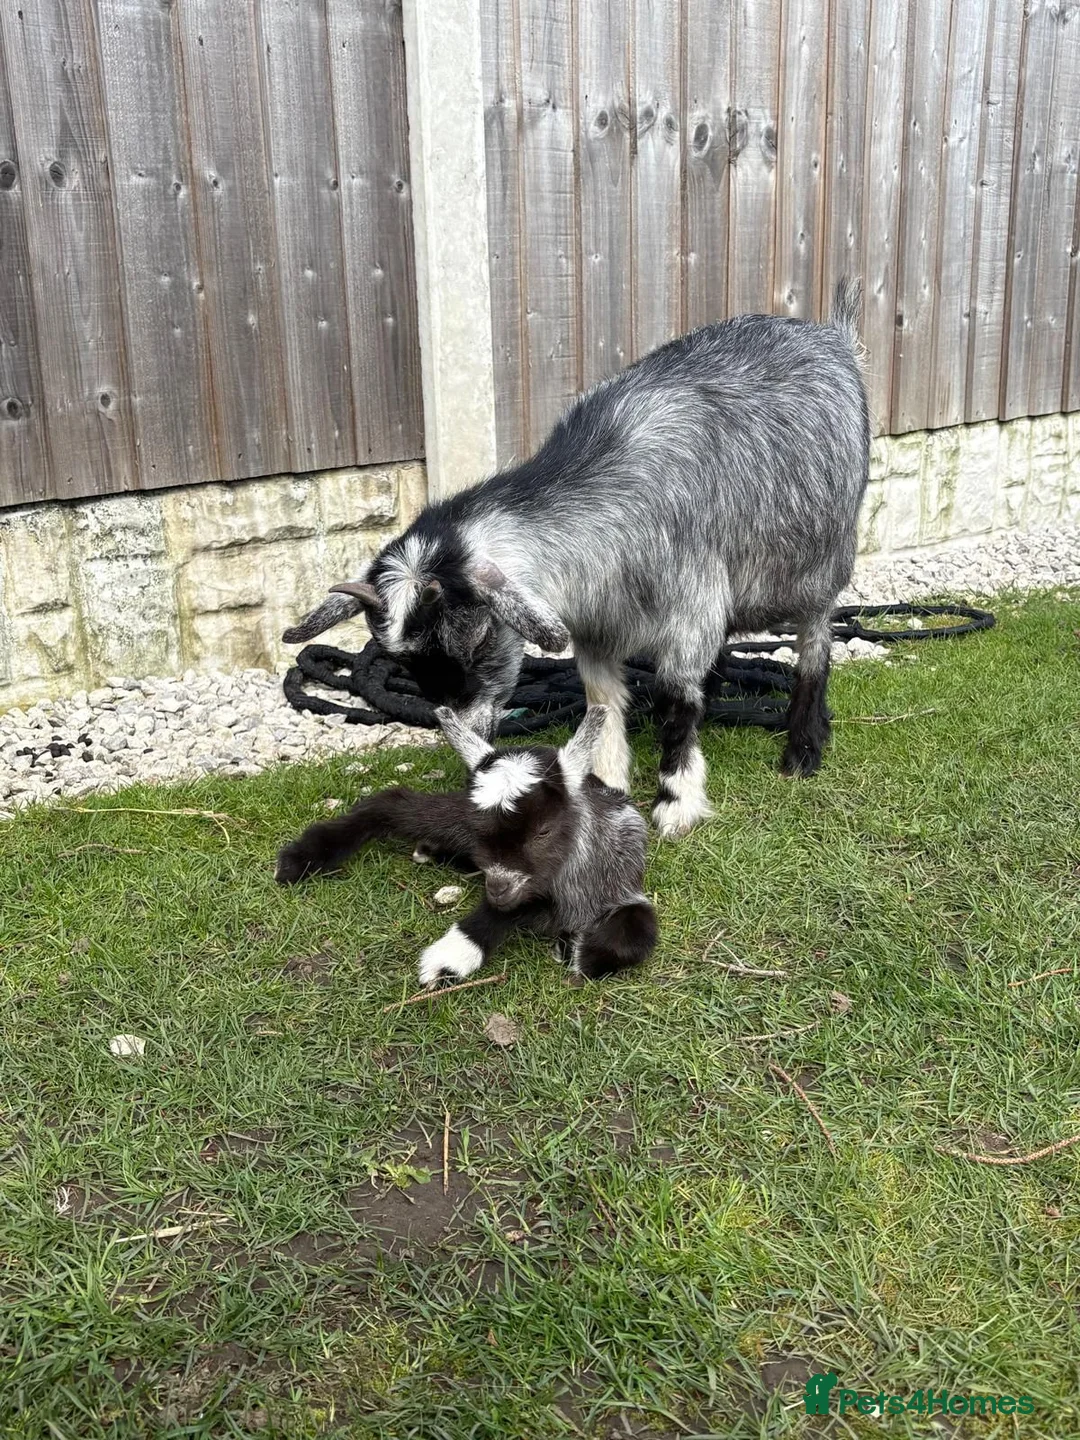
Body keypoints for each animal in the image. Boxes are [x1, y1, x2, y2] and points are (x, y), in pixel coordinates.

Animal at [275, 706, 658, 985]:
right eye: (480, 829)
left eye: (543, 832)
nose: (498, 887)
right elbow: (503, 912)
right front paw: (449, 959)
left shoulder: (621, 886)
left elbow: (638, 930)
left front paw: (580, 955)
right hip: (452, 814)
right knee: (393, 802)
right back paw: (301, 857)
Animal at [284, 282, 870, 837]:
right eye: (404, 663)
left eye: (478, 639)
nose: (469, 734)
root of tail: (836, 336)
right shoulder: (596, 629)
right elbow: (601, 703)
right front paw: (604, 784)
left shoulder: (691, 608)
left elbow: (677, 701)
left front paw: (676, 801)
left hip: (822, 565)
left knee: (816, 643)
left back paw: (802, 748)